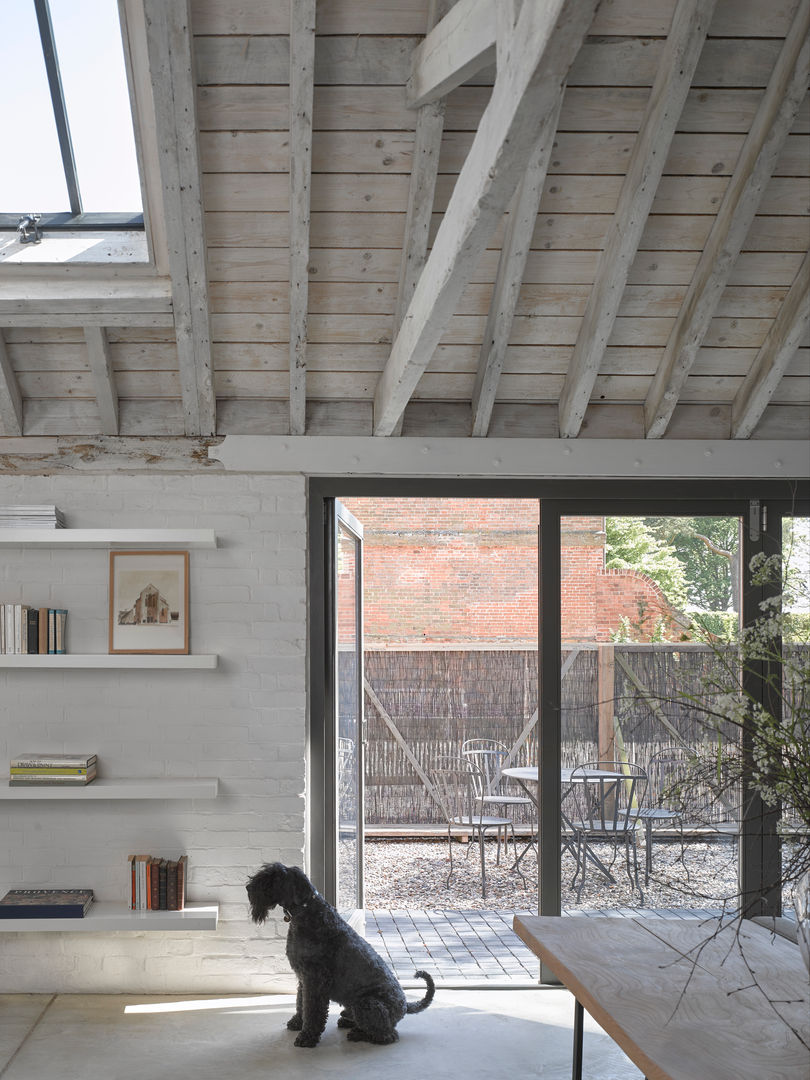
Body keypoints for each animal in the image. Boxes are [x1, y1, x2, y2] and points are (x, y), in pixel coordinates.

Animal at [249, 859, 434, 1045]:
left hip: (367, 1003)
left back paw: (358, 1033)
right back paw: (347, 1020)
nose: (248, 888)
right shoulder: (303, 978)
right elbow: (301, 1002)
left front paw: (307, 1037)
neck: (306, 911)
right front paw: (297, 1023)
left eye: (272, 876)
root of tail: (404, 1005)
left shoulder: (315, 980)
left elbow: (312, 1009)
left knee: (388, 1034)